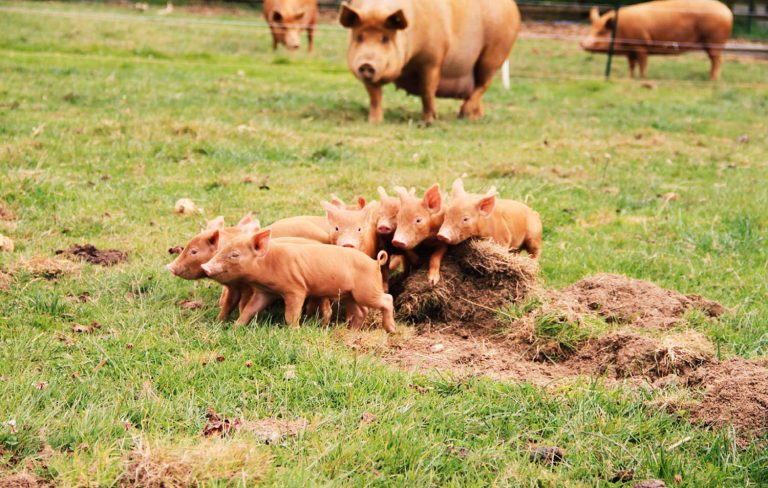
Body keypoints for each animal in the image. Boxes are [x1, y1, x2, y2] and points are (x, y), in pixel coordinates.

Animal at [201, 229, 396, 332]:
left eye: (234, 255)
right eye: (222, 250)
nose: (205, 267)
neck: (269, 263)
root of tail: (375, 262)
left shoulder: (295, 289)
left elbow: (291, 314)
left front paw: (294, 330)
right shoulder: (265, 292)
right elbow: (250, 309)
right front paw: (236, 327)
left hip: (367, 290)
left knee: (387, 299)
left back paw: (391, 330)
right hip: (350, 295)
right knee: (362, 311)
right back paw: (352, 330)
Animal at [339, 0, 521, 123]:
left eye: (385, 39)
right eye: (359, 37)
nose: (366, 64)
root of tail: (513, 7)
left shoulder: (433, 58)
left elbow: (427, 90)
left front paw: (429, 120)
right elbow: (374, 95)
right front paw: (374, 121)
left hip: (494, 53)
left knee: (484, 84)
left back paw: (463, 114)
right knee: (475, 89)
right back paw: (473, 117)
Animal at [580, 0, 733, 80]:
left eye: (601, 31)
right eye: (592, 28)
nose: (582, 43)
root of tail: (727, 11)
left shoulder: (641, 45)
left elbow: (642, 64)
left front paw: (643, 78)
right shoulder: (630, 51)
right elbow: (631, 65)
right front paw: (630, 77)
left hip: (714, 41)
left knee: (717, 61)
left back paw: (712, 80)